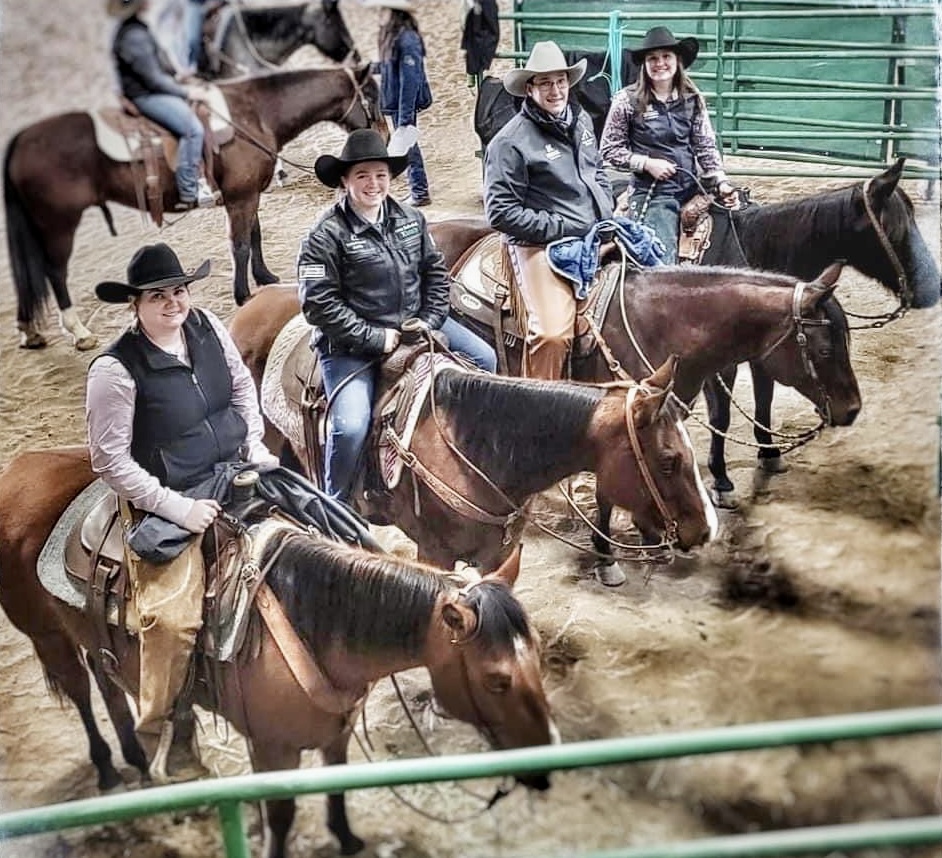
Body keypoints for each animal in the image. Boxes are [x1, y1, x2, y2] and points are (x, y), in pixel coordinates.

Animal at [0, 444, 556, 852]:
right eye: (496, 680)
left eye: (538, 659)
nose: (548, 759)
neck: (313, 620)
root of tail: (24, 467)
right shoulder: (271, 749)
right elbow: (283, 815)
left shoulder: (337, 730)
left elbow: (337, 784)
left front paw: (347, 840)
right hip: (46, 635)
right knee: (80, 692)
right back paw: (109, 769)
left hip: (92, 639)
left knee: (111, 686)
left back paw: (141, 759)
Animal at [6, 61, 384, 352]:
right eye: (372, 95)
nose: (381, 141)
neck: (254, 114)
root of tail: (22, 139)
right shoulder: (241, 197)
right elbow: (240, 244)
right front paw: (243, 295)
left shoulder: (248, 193)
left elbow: (255, 235)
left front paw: (265, 277)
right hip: (59, 224)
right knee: (55, 272)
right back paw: (78, 331)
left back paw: (30, 330)